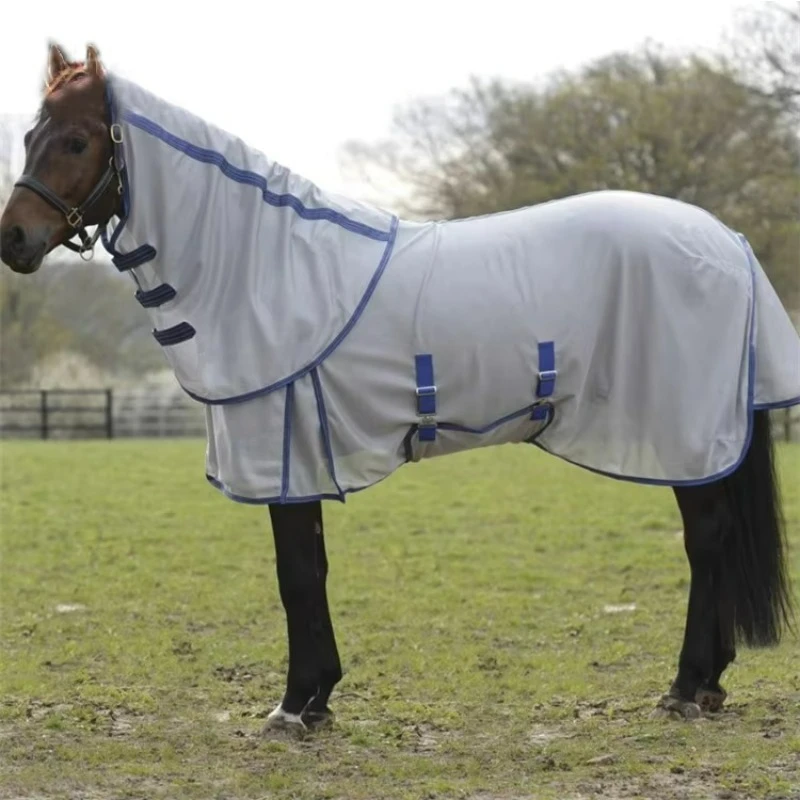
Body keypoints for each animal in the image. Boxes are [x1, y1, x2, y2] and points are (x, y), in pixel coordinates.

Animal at [2, 43, 798, 734]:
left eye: (75, 141)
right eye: (30, 134)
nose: (13, 240)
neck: (268, 267)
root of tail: (727, 241)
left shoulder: (282, 453)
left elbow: (295, 576)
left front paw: (293, 707)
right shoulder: (304, 456)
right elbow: (313, 571)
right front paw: (319, 698)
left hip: (683, 433)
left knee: (706, 541)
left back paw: (687, 686)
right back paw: (707, 683)